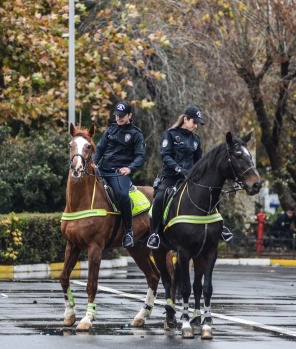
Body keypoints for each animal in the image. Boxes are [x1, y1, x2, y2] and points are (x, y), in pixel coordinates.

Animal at [59, 123, 171, 330]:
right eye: (71, 144)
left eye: (88, 146)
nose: (77, 168)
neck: (81, 202)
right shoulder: (72, 245)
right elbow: (63, 277)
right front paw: (69, 314)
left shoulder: (95, 247)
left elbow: (92, 284)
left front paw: (88, 318)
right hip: (138, 249)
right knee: (154, 276)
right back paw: (141, 316)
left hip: (162, 249)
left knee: (170, 279)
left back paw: (170, 318)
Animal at [153, 130, 262, 338]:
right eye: (237, 155)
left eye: (250, 156)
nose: (257, 185)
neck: (201, 204)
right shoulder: (184, 252)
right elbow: (185, 288)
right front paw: (185, 324)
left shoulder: (210, 252)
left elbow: (206, 288)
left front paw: (205, 325)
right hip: (160, 251)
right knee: (168, 280)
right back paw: (171, 315)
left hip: (197, 256)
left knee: (193, 285)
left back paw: (195, 319)